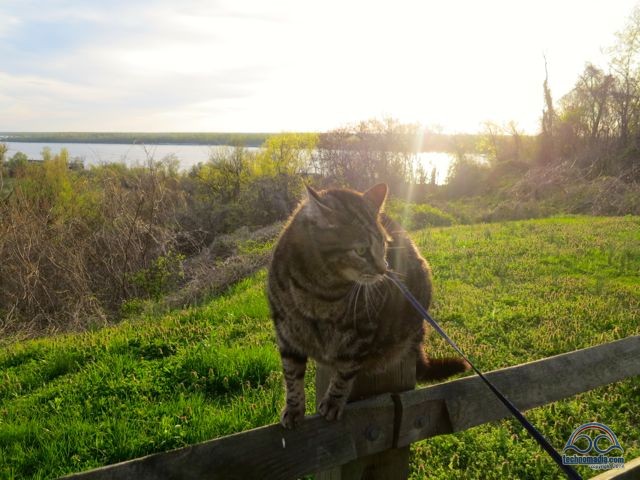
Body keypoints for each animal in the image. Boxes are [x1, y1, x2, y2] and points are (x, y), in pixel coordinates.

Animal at [268, 184, 468, 428]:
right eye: (361, 251)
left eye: (383, 244)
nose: (384, 270)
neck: (321, 291)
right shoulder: (285, 332)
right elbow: (292, 375)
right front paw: (293, 408)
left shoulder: (361, 332)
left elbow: (345, 373)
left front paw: (333, 402)